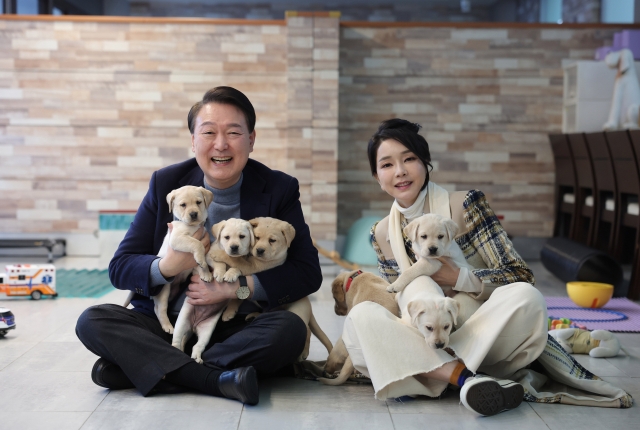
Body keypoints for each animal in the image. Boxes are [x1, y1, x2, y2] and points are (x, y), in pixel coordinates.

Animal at [124, 184, 214, 332]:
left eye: (198, 202)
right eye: (183, 205)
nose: (193, 214)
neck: (191, 226)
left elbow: (200, 258)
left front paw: (205, 272)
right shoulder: (177, 238)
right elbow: (197, 244)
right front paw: (202, 263)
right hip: (164, 291)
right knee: (159, 309)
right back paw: (167, 326)